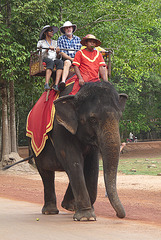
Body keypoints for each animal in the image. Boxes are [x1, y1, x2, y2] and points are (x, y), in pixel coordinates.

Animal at [31, 81, 127, 220]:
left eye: (119, 117)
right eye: (92, 119)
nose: (119, 215)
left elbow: (91, 165)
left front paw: (86, 211)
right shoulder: (60, 128)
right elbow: (73, 161)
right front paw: (87, 217)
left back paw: (69, 206)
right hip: (35, 148)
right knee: (46, 173)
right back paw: (50, 211)